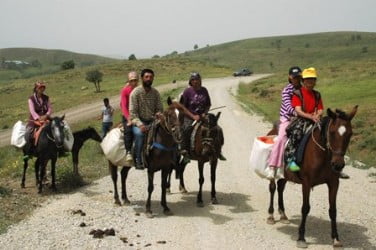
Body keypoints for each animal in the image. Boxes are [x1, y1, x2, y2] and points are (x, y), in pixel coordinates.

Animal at [268, 106, 358, 248]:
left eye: (350, 134)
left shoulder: (334, 183)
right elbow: (305, 208)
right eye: (332, 132)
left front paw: (336, 239)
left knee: (280, 187)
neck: (322, 154)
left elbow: (333, 210)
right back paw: (271, 215)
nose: (338, 165)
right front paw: (301, 238)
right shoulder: (306, 182)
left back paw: (283, 214)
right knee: (272, 188)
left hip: (285, 175)